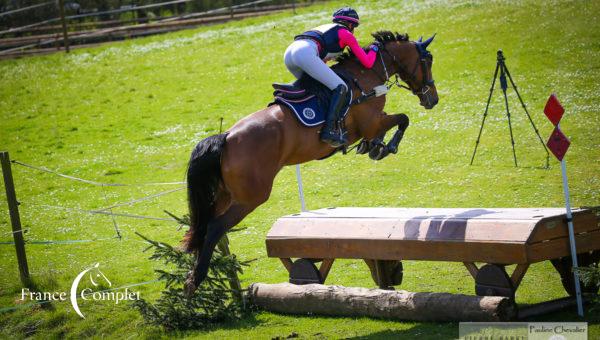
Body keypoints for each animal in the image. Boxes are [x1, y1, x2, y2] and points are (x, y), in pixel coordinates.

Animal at [180, 30, 438, 294]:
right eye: (428, 60)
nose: (433, 99)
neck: (365, 76)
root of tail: (227, 137)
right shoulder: (372, 122)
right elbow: (403, 119)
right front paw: (388, 146)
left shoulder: (372, 124)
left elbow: (389, 127)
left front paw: (374, 147)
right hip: (250, 197)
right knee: (214, 228)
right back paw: (196, 279)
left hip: (223, 195)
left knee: (201, 227)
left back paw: (191, 278)